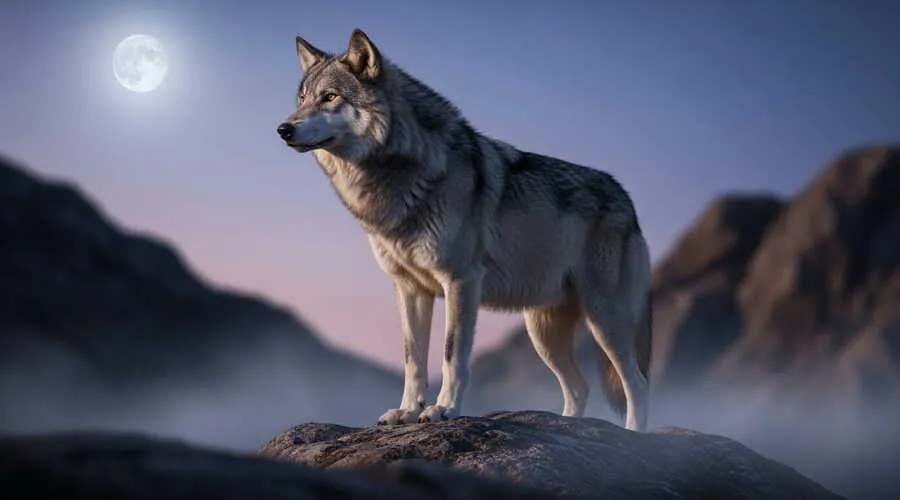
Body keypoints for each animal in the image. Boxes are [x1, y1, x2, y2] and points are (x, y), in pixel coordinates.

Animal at [276, 29, 653, 431]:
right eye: (301, 100)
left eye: (329, 97)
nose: (283, 129)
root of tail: (627, 200)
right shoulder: (409, 289)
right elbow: (412, 360)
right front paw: (407, 411)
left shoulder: (460, 281)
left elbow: (451, 354)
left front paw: (444, 409)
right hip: (543, 333)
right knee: (580, 387)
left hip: (603, 320)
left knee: (636, 381)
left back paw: (632, 434)